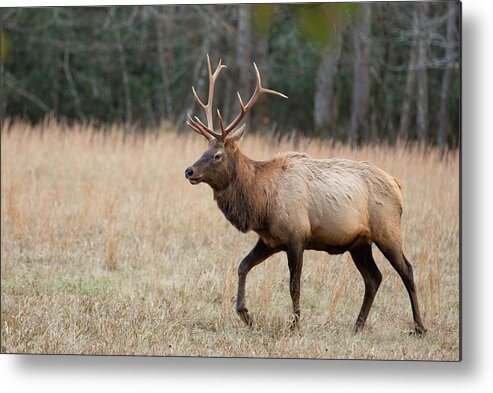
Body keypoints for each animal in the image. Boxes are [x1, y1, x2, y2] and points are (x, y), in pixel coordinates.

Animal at [184, 55, 426, 334]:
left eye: (217, 155)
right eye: (204, 148)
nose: (189, 171)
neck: (261, 204)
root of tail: (397, 185)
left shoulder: (296, 235)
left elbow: (294, 285)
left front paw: (294, 325)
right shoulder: (270, 239)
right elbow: (242, 265)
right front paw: (245, 313)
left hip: (387, 229)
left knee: (407, 270)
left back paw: (419, 326)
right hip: (359, 242)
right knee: (374, 278)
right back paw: (358, 325)